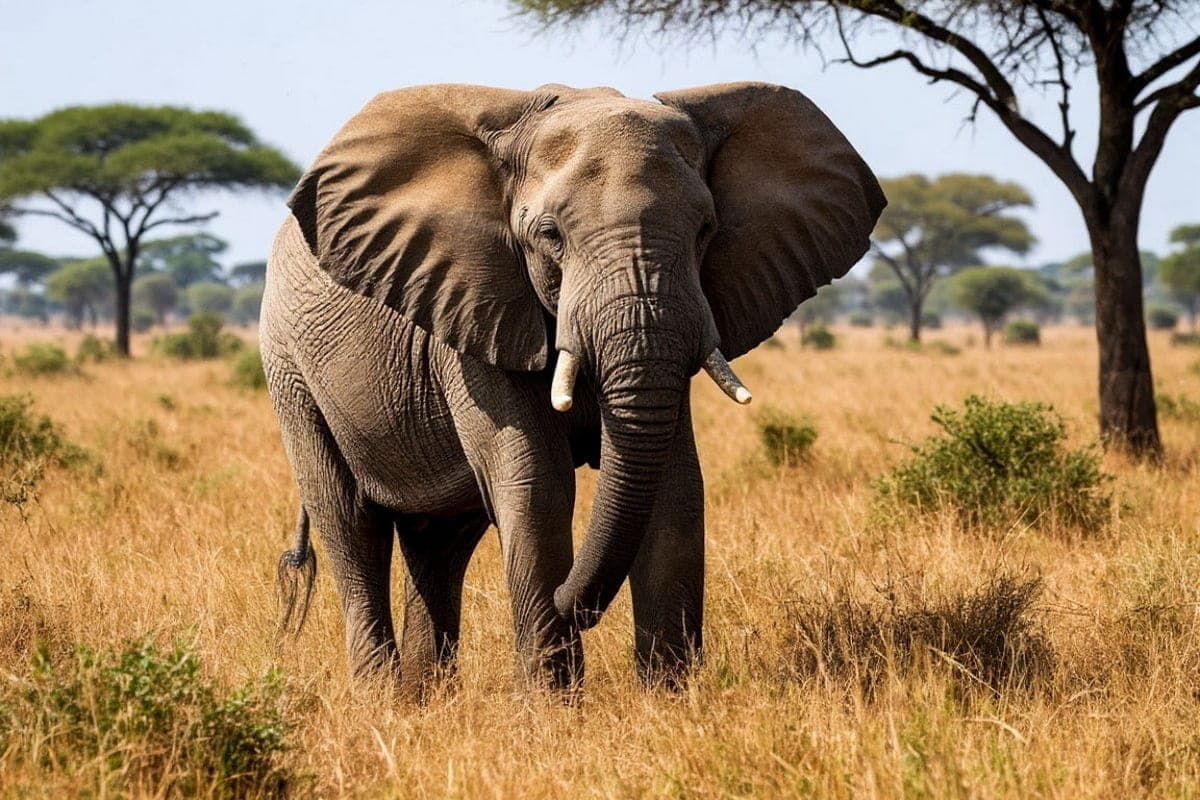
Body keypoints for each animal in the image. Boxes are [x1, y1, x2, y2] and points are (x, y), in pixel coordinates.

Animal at [263, 81, 884, 696]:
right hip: (289, 370)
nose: (577, 610)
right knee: (350, 523)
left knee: (439, 541)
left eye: (705, 231)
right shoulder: (477, 308)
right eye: (549, 235)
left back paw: (426, 700)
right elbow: (538, 483)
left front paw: (668, 698)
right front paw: (553, 705)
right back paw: (383, 700)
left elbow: (675, 485)